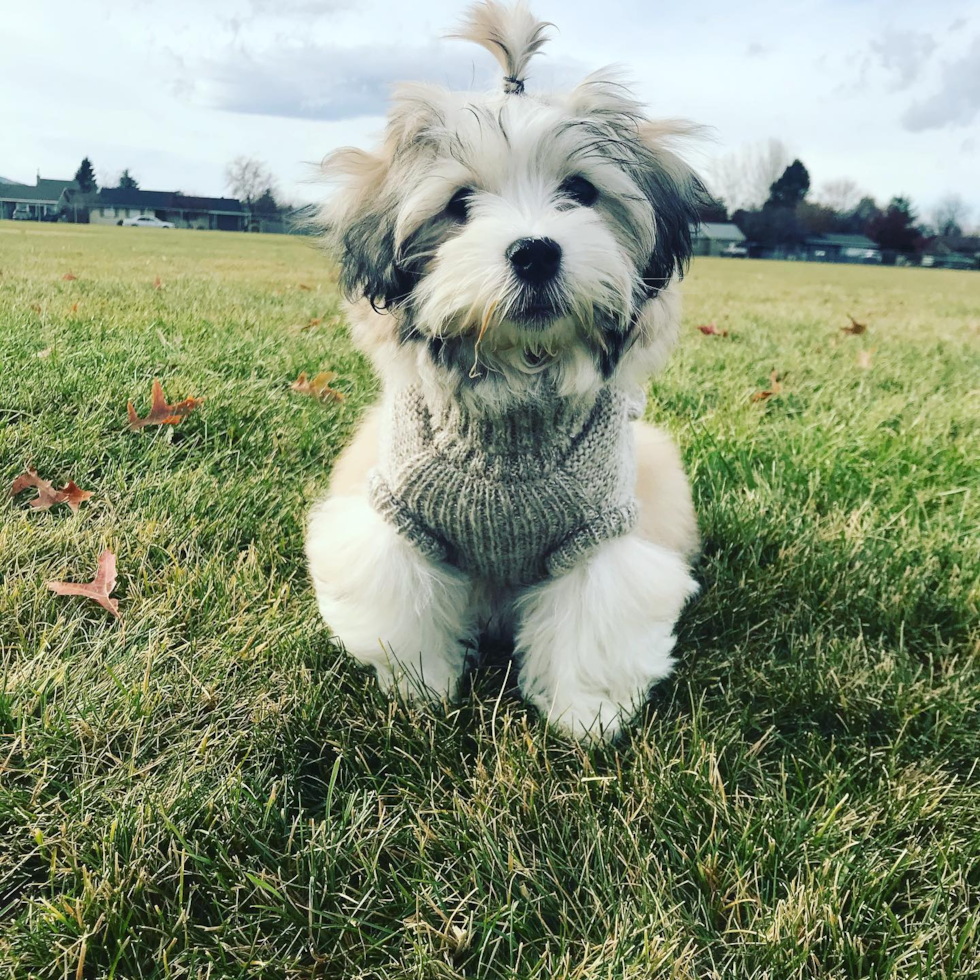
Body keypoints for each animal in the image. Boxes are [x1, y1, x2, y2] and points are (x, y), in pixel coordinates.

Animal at [306, 0, 704, 744]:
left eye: (580, 191)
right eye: (459, 205)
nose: (536, 251)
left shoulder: (602, 532)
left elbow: (595, 612)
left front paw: (586, 715)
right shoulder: (399, 521)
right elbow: (403, 596)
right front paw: (418, 690)